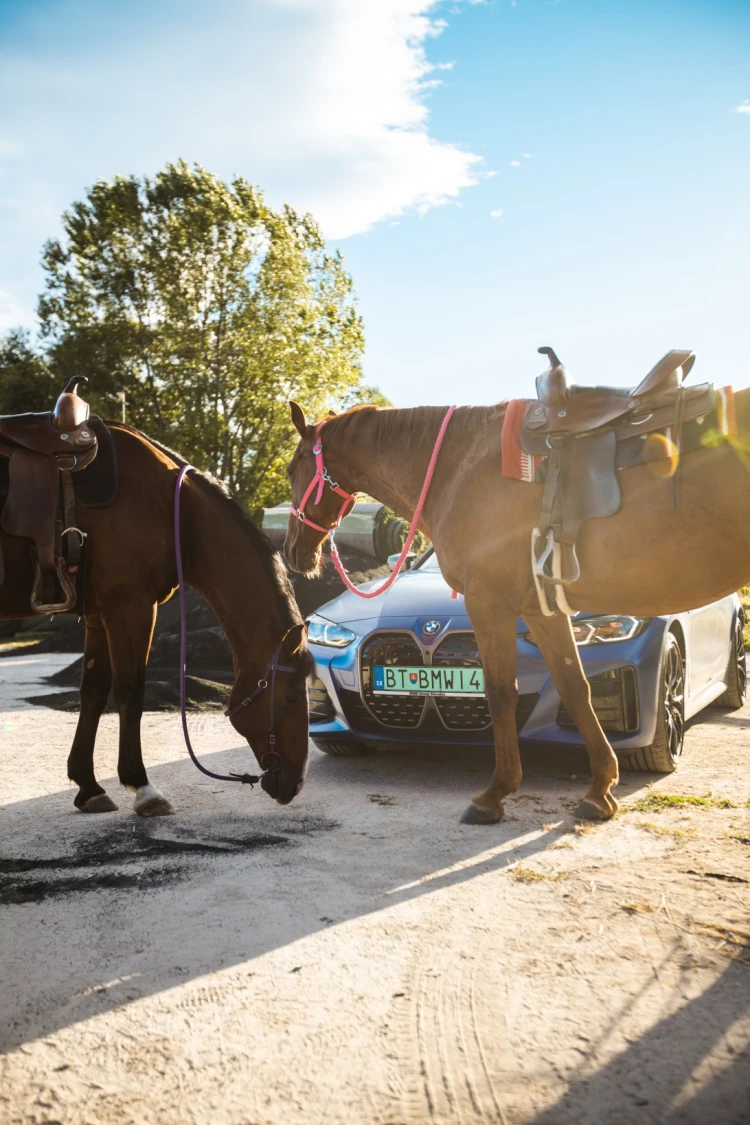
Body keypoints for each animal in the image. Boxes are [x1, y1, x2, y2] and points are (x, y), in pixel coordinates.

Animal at [0, 425, 310, 814]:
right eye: (290, 697)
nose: (295, 784)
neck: (173, 511)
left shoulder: (98, 616)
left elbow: (93, 693)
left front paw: (88, 785)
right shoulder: (130, 608)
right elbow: (131, 693)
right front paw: (142, 786)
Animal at [283, 389, 750, 828]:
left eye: (291, 470)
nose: (292, 551)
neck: (459, 467)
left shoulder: (489, 602)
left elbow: (499, 691)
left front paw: (494, 794)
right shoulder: (543, 610)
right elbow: (574, 687)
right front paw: (600, 789)